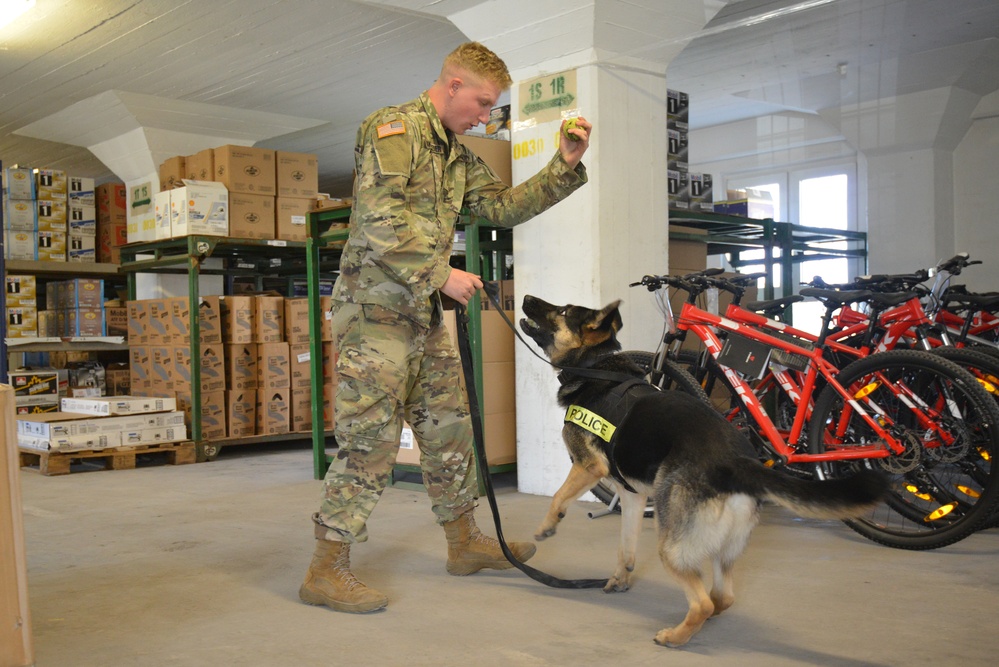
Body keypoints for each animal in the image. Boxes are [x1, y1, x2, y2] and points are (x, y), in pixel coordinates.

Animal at [520, 296, 888, 648]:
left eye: (563, 310)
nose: (524, 298)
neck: (595, 367)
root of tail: (736, 462)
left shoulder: (587, 466)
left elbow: (558, 495)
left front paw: (546, 527)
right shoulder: (632, 497)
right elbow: (626, 547)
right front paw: (620, 579)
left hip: (671, 546)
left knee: (703, 603)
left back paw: (674, 637)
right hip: (720, 548)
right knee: (723, 597)